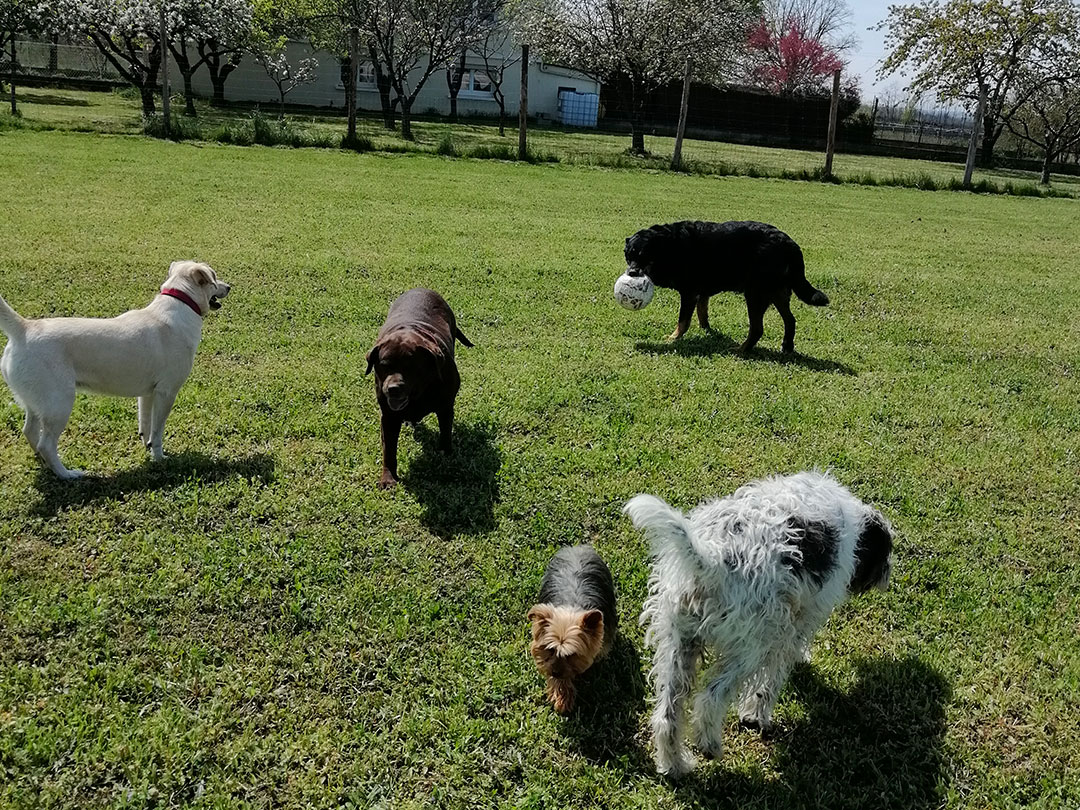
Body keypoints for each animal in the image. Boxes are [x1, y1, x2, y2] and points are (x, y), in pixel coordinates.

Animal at [367, 289, 473, 488]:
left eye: (411, 367)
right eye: (383, 365)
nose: (393, 388)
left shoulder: (446, 407)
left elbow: (445, 433)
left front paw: (446, 455)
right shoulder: (388, 416)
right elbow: (389, 449)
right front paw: (388, 477)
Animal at [626, 220, 825, 354]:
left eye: (643, 255)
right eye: (628, 256)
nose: (632, 273)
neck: (669, 247)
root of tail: (790, 244)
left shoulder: (689, 292)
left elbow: (683, 320)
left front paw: (674, 338)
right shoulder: (702, 292)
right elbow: (702, 312)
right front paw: (706, 330)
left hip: (755, 293)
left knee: (757, 328)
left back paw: (741, 350)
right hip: (777, 291)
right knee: (790, 320)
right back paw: (787, 346)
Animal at [626, 473, 894, 777]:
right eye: (886, 552)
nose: (888, 576)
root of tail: (712, 560)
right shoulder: (799, 622)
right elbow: (772, 681)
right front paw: (757, 715)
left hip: (679, 645)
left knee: (667, 717)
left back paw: (675, 766)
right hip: (751, 648)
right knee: (710, 698)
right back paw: (709, 745)